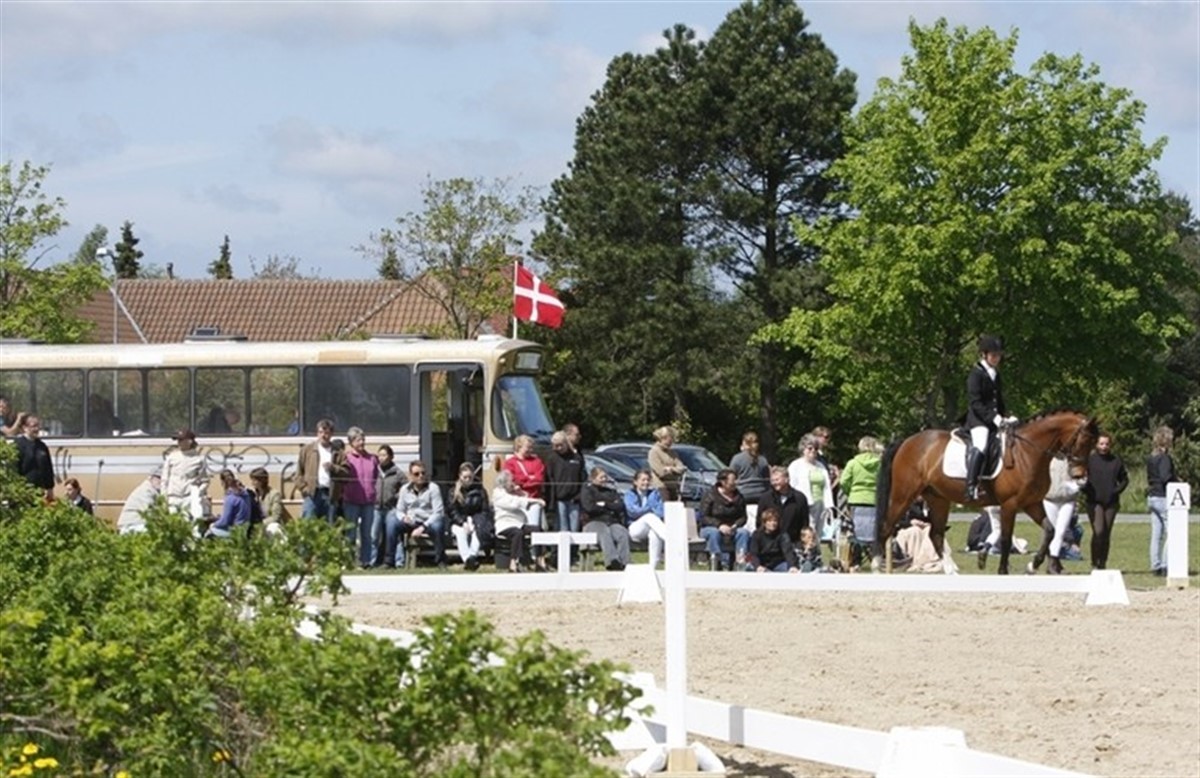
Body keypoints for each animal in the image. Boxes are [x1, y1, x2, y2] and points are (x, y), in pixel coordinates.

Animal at [875, 410, 1099, 575]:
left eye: (1093, 445)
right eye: (1082, 441)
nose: (1080, 476)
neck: (1028, 453)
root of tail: (907, 442)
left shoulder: (1031, 503)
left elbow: (1050, 530)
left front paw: (1031, 566)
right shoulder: (1010, 504)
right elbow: (1006, 539)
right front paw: (1002, 571)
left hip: (938, 498)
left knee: (935, 534)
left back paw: (951, 571)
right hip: (904, 495)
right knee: (886, 527)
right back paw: (877, 567)